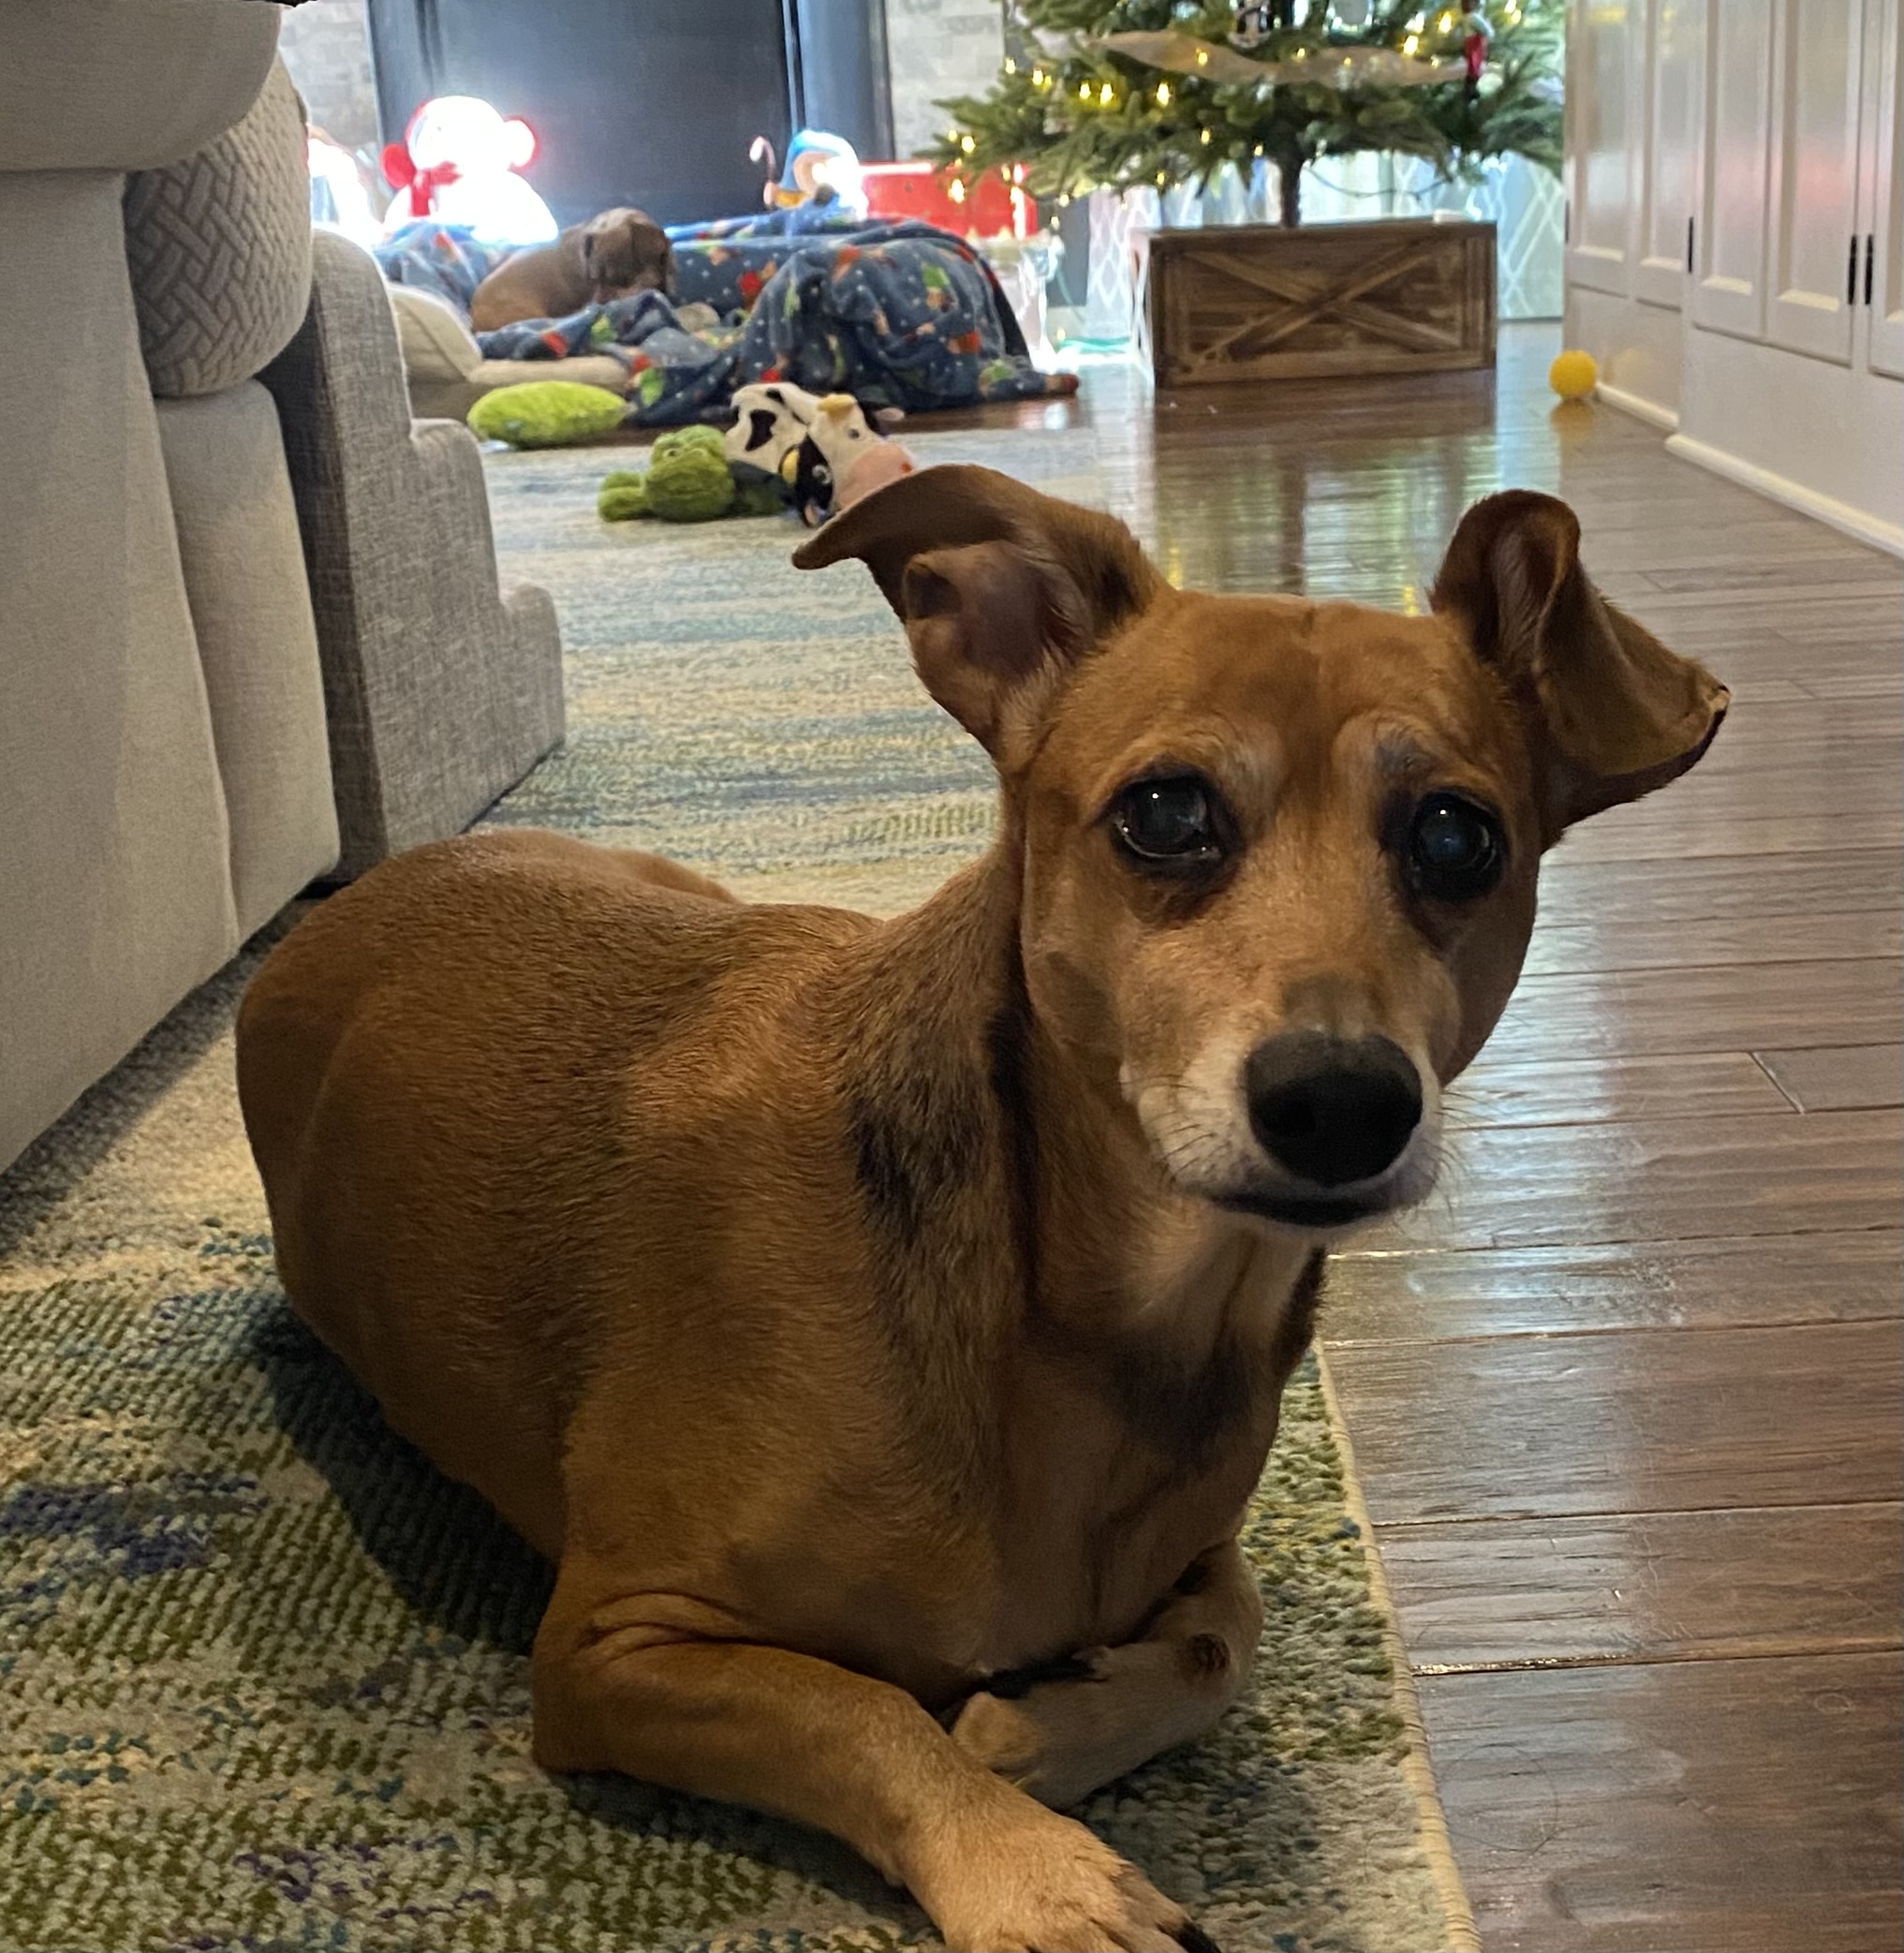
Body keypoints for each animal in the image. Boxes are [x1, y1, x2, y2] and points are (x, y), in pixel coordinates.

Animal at [236, 466, 1726, 1953]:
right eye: (1164, 813)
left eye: (1457, 837)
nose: (1343, 1103)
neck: (1078, 1317)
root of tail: (340, 908)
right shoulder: (612, 1644)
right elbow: (860, 1710)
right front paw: (1038, 1867)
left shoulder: (1198, 1554)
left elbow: (1217, 1640)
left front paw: (1031, 1734)